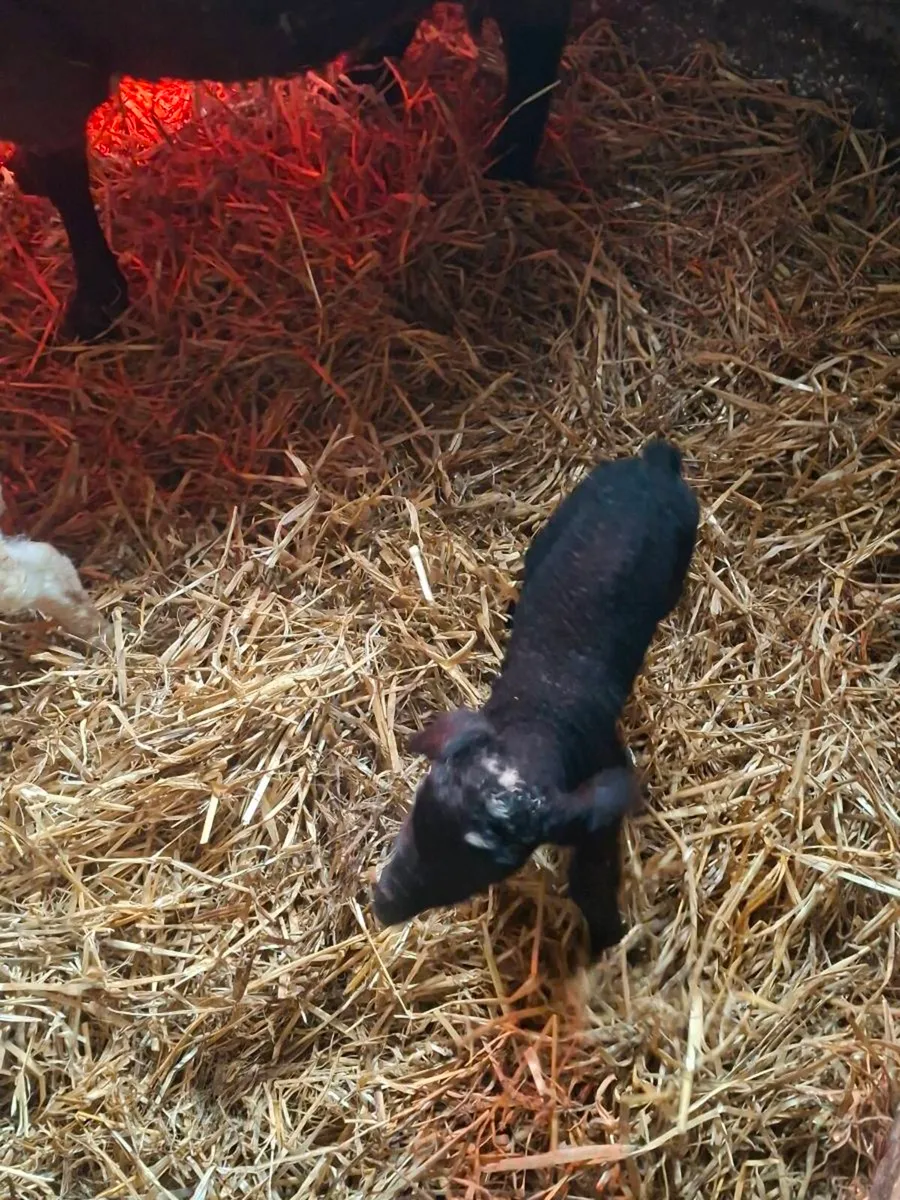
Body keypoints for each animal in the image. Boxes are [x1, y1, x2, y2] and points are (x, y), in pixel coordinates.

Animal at [0, 0, 573, 341]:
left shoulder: (38, 62)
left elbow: (66, 178)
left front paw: (95, 305)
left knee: (536, 41)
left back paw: (507, 167)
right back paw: (361, 85)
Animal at [372, 438, 700, 959]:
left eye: (472, 875)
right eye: (412, 819)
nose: (383, 905)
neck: (536, 721)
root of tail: (654, 464)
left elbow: (593, 870)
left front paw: (607, 940)